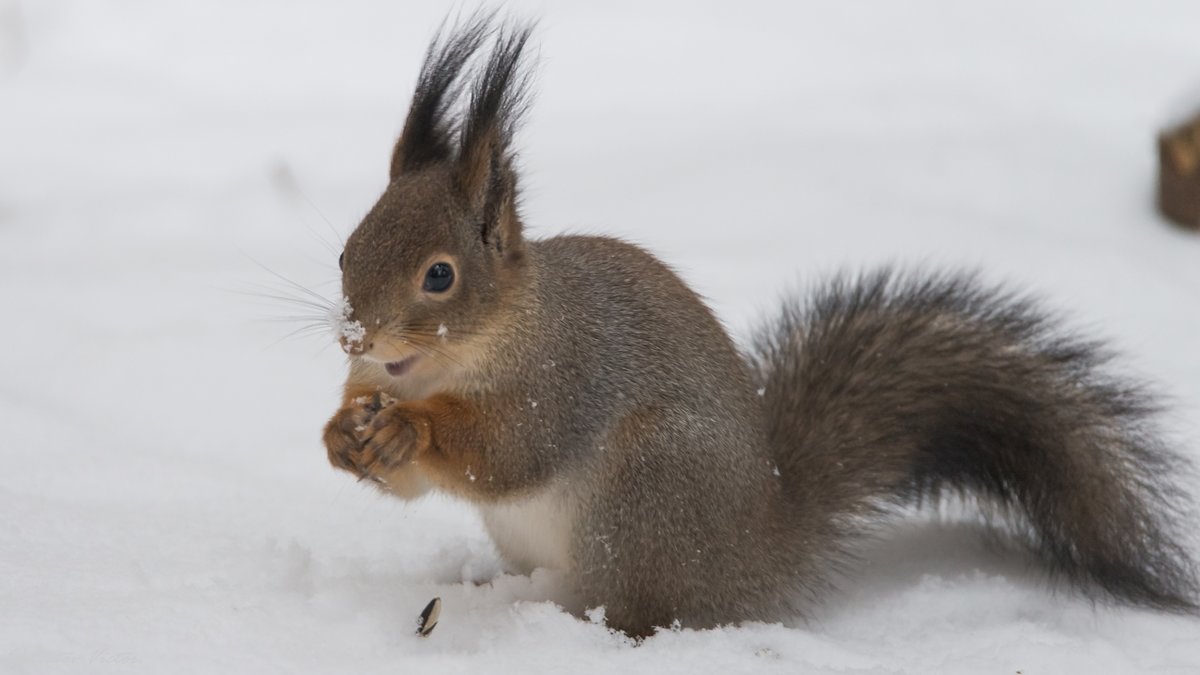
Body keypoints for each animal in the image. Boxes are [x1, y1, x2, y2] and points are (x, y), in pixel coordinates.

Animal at [321, 15, 1200, 634]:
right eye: (345, 249)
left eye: (440, 275)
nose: (356, 338)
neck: (451, 362)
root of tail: (762, 554)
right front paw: (343, 435)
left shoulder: (562, 377)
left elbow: (508, 450)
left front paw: (411, 431)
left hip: (649, 491)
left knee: (647, 610)